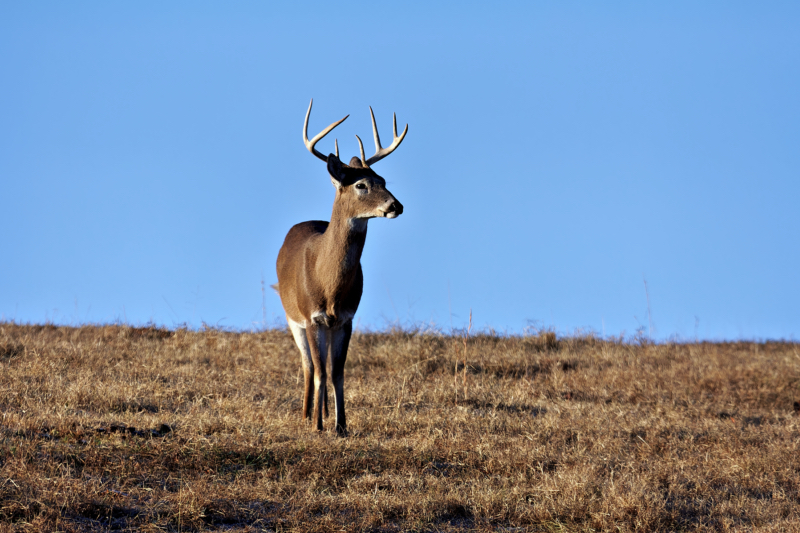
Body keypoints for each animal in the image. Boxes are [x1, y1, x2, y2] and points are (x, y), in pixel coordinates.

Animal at [278, 100, 410, 436]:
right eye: (361, 184)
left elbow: (337, 372)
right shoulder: (313, 316)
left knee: (321, 365)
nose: (396, 206)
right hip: (293, 318)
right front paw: (317, 426)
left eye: (383, 180)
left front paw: (341, 425)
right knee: (308, 365)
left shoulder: (346, 318)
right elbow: (320, 372)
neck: (329, 285)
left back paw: (322, 412)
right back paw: (306, 414)